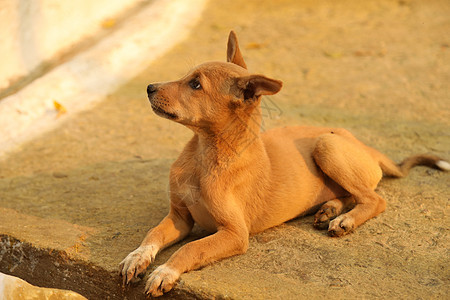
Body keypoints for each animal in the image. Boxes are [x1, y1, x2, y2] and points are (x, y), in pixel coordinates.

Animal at [118, 31, 448, 298]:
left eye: (196, 84)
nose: (148, 87)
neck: (203, 156)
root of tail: (366, 147)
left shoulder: (235, 234)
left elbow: (191, 248)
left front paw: (164, 272)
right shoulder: (179, 217)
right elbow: (152, 235)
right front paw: (137, 258)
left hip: (326, 145)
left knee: (375, 199)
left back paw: (345, 220)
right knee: (354, 194)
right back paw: (330, 209)